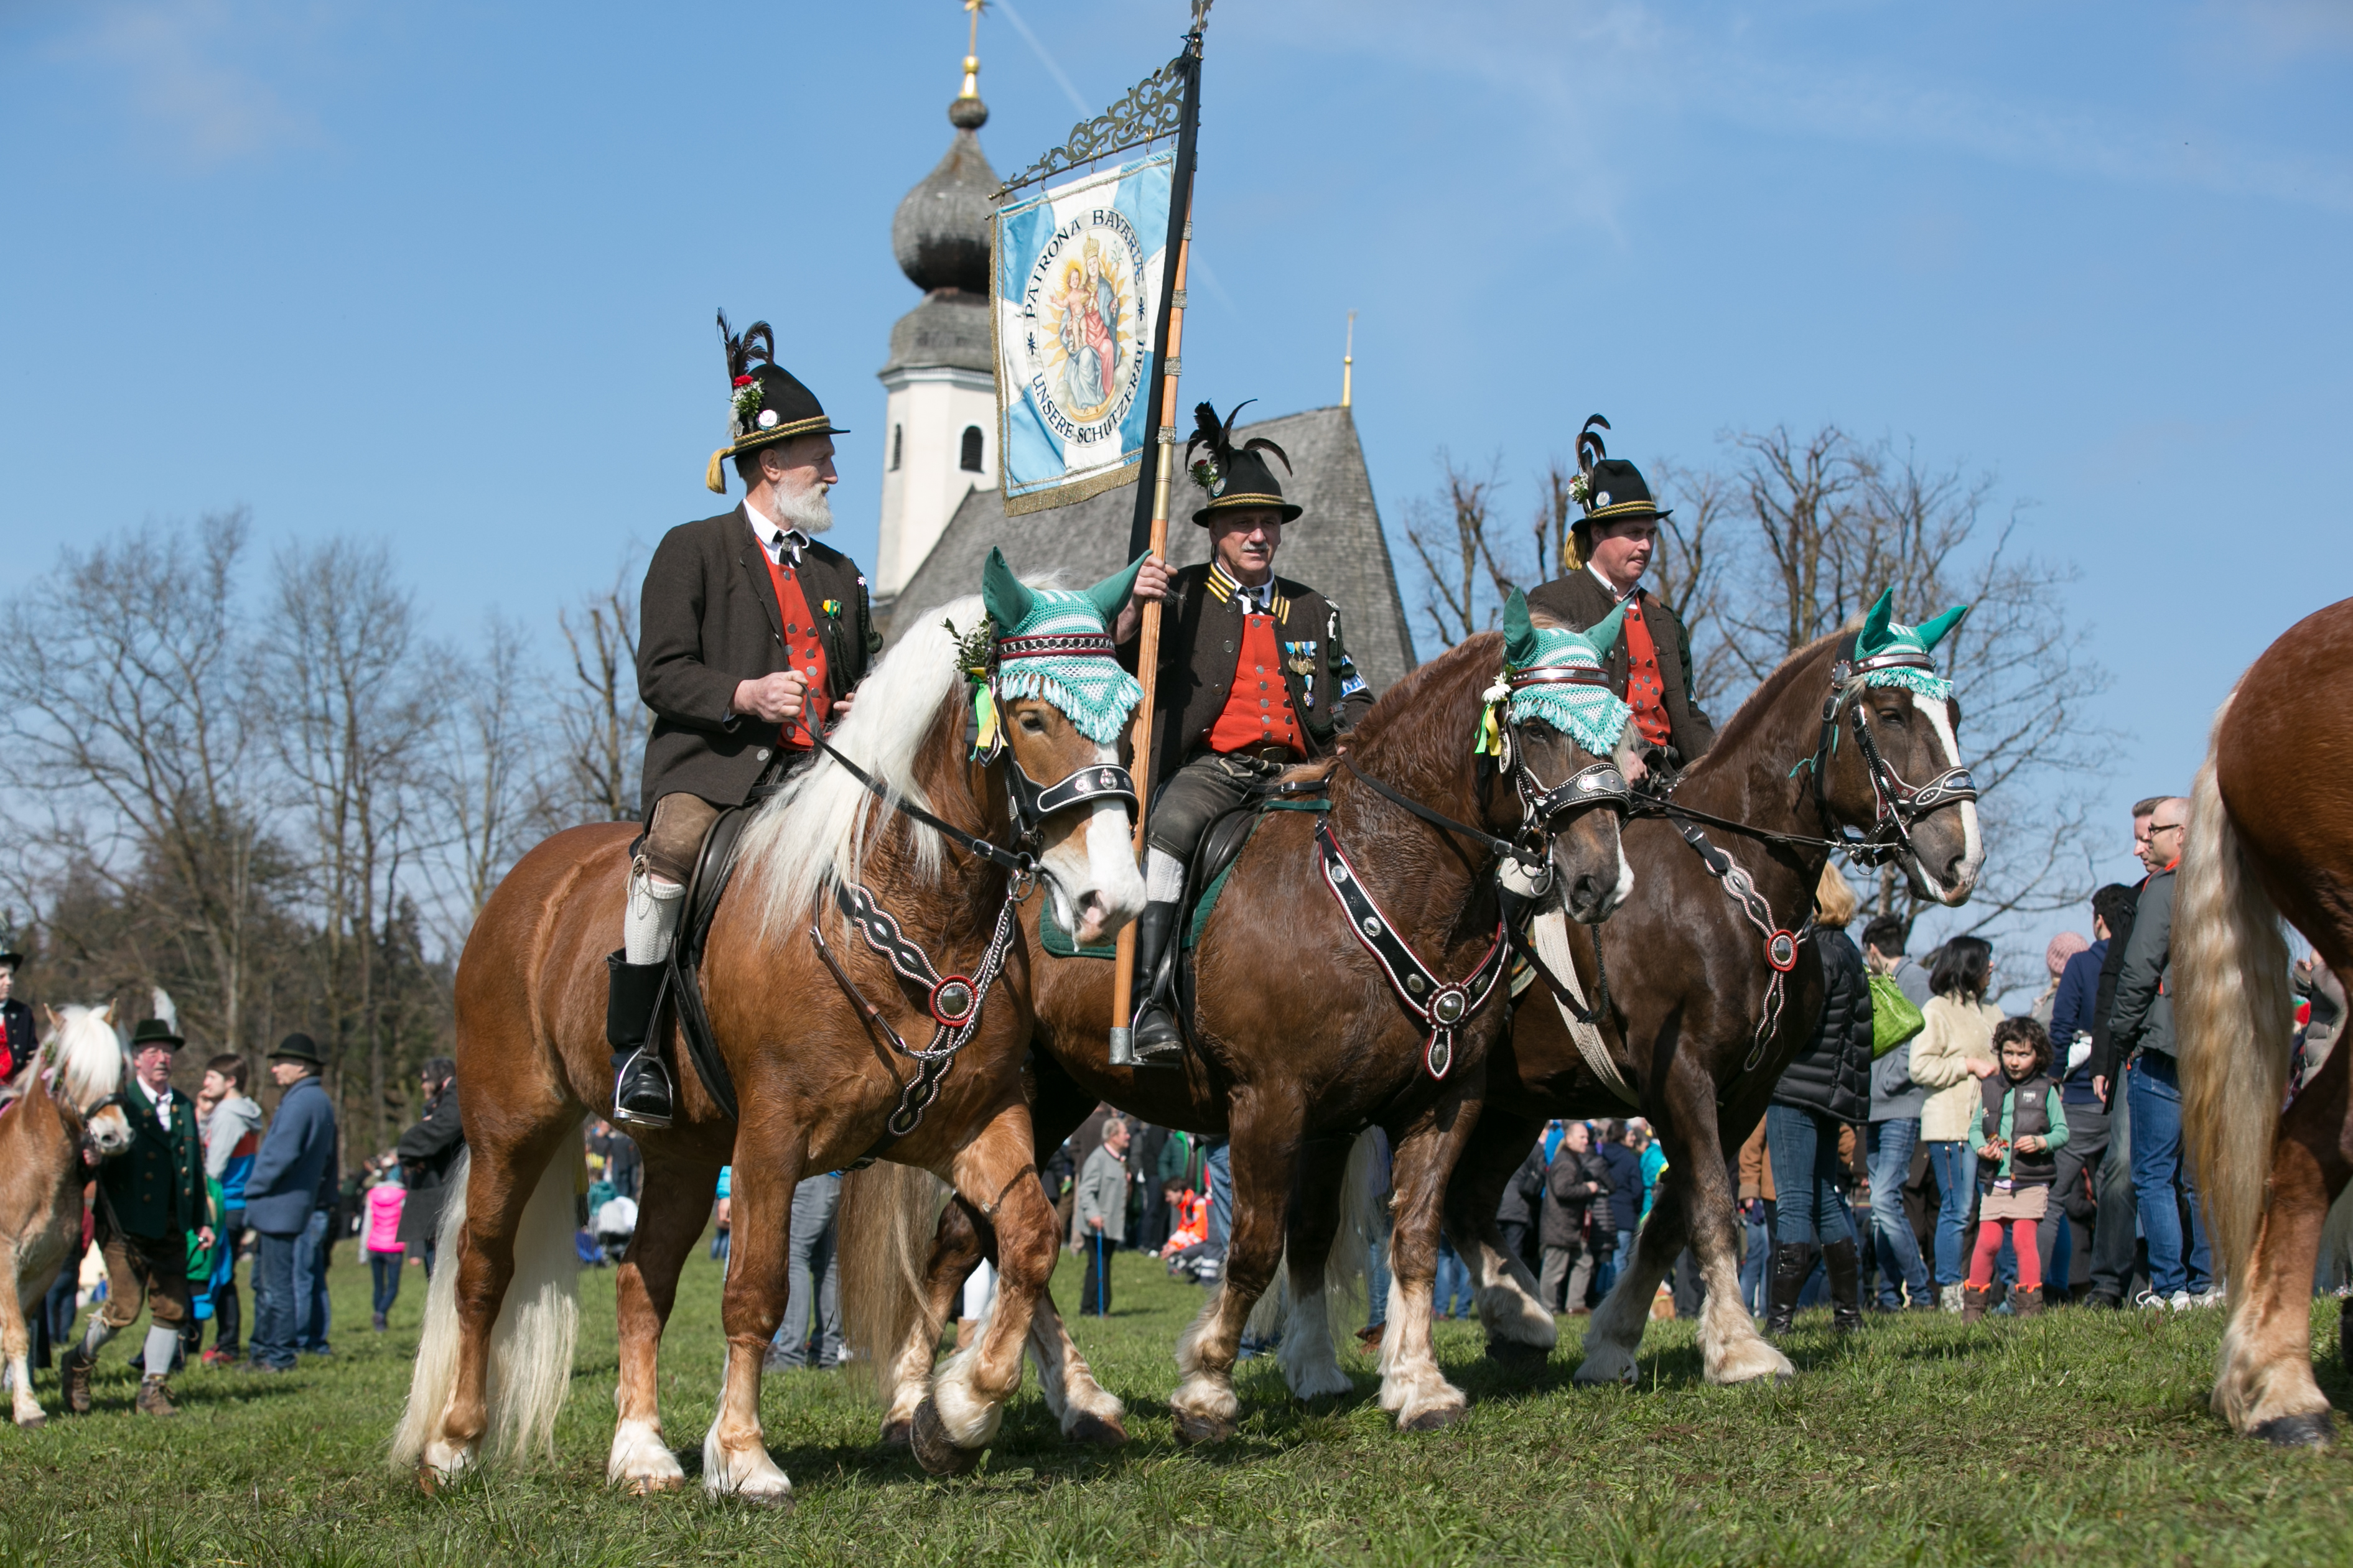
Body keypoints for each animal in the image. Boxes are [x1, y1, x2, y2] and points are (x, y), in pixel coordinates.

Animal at [1, 1001, 133, 1429]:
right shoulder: (5, 1259)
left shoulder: (43, 1266)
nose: (114, 1136)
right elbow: (16, 1335)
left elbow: (17, 1331)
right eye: (73, 1069)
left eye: (119, 1068)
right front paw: (28, 1409)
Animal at [393, 557, 1148, 1504]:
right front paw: (744, 1454)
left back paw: (640, 1451)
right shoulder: (771, 1139)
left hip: (680, 1155)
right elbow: (753, 1291)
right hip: (511, 1128)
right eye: (1033, 716)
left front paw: (957, 1411)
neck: (908, 910)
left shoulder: (978, 1124)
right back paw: (453, 1444)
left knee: (641, 1280)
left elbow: (1031, 1243)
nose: (1112, 898)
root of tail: (529, 882)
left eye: (1128, 718)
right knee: (481, 1274)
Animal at [856, 592, 1647, 1448]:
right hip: (1013, 1097)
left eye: (1617, 725)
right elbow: (1257, 1246)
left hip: (1055, 1095)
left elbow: (1399, 1236)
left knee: (988, 1237)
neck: (1379, 877)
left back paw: (1053, 1401)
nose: (1600, 879)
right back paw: (923, 1401)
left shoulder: (1428, 1104)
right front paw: (1207, 1387)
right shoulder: (1270, 1102)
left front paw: (1410, 1382)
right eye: (1534, 729)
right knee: (967, 1240)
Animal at [1449, 595, 1986, 1391]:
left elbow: (1672, 1215)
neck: (1724, 882)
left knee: (1465, 1204)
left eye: (1951, 710)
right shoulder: (1679, 1073)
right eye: (1890, 714)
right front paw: (1740, 1346)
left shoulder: (1747, 1088)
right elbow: (1707, 1205)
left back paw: (1514, 1319)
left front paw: (1613, 1341)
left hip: (1514, 1106)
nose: (1961, 857)